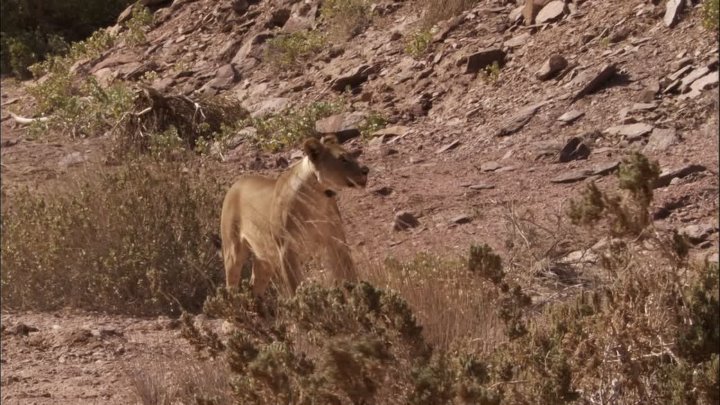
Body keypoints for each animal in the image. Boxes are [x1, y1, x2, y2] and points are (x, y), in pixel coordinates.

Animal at [219, 134, 370, 297]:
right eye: (342, 159)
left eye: (352, 156)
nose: (365, 170)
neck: (317, 197)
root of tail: (236, 184)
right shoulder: (286, 250)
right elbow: (295, 287)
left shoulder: (336, 242)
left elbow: (349, 276)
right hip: (233, 252)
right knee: (232, 285)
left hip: (265, 258)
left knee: (256, 286)